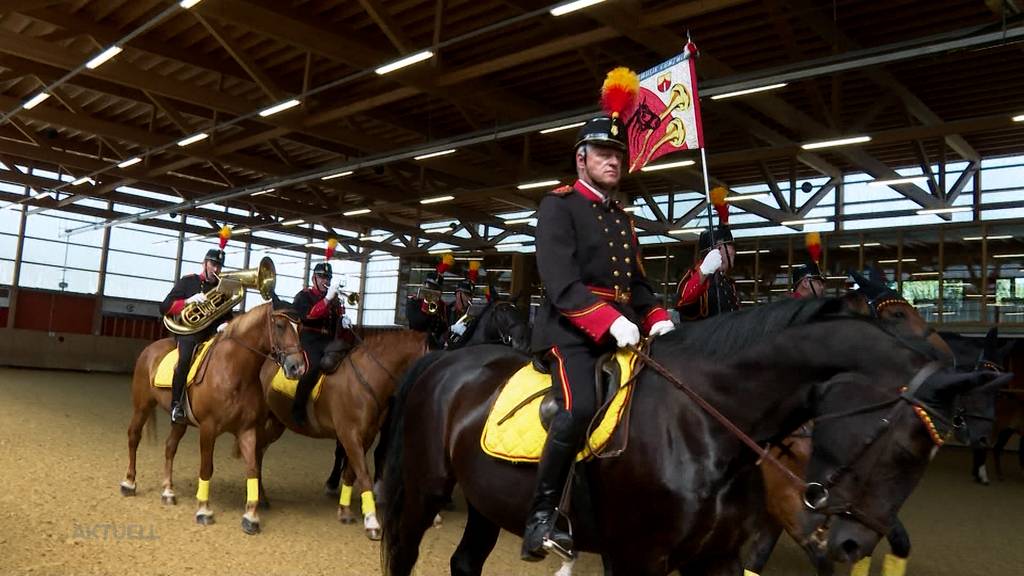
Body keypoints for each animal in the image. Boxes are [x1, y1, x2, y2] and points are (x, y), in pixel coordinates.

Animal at [120, 303, 303, 532]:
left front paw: (251, 516)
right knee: (133, 437)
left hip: (180, 422)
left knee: (170, 447)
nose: (298, 367)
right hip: (142, 407)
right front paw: (204, 510)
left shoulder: (247, 430)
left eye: (300, 328)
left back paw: (168, 491)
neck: (235, 372)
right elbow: (207, 468)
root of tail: (150, 349)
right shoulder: (209, 428)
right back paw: (129, 483)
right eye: (279, 325)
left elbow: (252, 468)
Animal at [260, 327, 432, 537]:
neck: (367, 377)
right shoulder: (349, 435)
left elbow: (351, 472)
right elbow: (363, 474)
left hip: (276, 423)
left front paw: (344, 511)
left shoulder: (365, 436)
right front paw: (372, 521)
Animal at [380, 297, 1003, 569]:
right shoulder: (638, 556)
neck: (707, 422)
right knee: (406, 550)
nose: (854, 546)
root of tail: (443, 360)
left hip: (487, 500)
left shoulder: (718, 558)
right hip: (425, 489)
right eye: (906, 446)